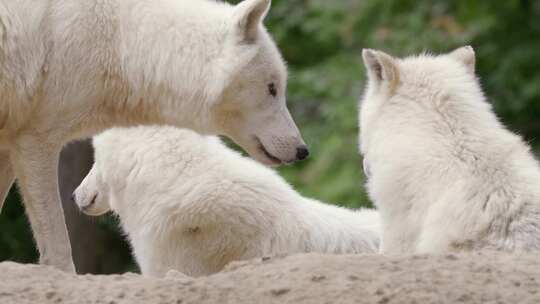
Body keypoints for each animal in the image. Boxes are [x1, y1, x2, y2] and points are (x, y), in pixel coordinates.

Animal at [0, 0, 306, 272]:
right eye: (272, 88)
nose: (303, 150)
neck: (120, 41)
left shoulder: (12, 148)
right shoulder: (36, 141)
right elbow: (59, 247)